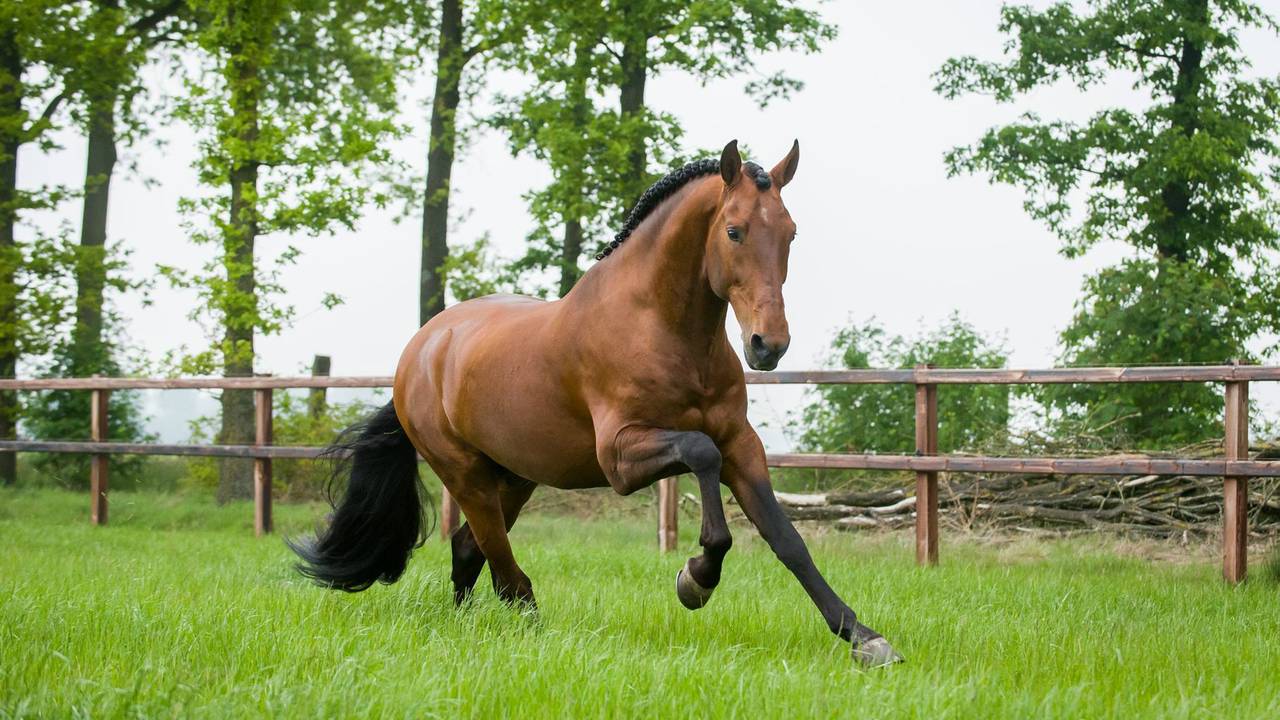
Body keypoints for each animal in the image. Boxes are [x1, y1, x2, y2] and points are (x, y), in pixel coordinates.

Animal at [291, 140, 902, 668]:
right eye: (734, 231)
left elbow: (787, 540)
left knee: (470, 550)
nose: (768, 346)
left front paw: (865, 638)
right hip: (465, 474)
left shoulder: (741, 445)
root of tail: (422, 348)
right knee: (504, 570)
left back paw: (466, 626)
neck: (664, 329)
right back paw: (532, 635)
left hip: (514, 477)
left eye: (792, 233)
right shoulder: (622, 457)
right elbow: (700, 456)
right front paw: (696, 578)